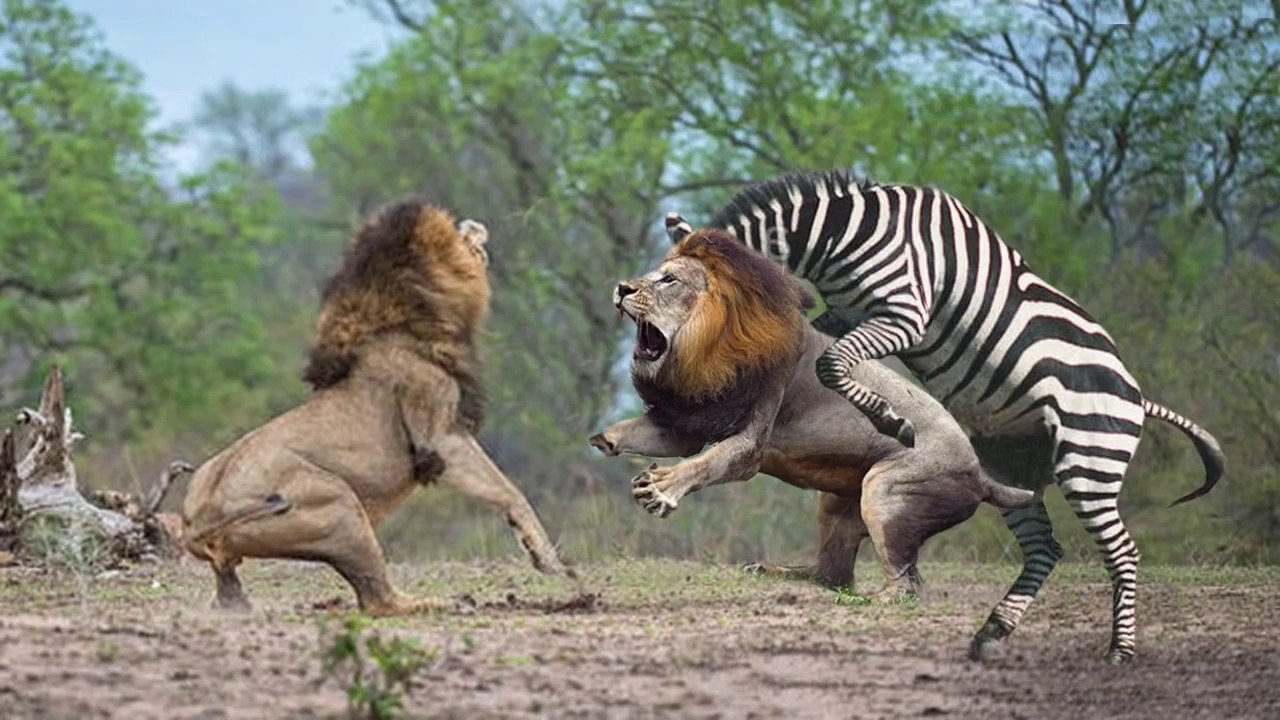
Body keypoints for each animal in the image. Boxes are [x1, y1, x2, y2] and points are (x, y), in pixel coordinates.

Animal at [181, 202, 567, 616]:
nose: (478, 227)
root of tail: (196, 522)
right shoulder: (441, 438)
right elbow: (509, 490)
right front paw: (546, 559)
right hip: (338, 504)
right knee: (378, 600)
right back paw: (449, 602)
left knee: (231, 591)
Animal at [589, 226, 1033, 598]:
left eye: (669, 280)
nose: (622, 288)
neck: (707, 344)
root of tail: (980, 475)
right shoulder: (687, 423)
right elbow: (642, 433)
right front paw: (604, 439)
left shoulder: (750, 441)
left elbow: (708, 463)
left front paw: (659, 489)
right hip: (837, 502)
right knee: (833, 574)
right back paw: (775, 571)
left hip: (887, 489)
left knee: (908, 584)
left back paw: (875, 600)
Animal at [663, 169, 1225, 664]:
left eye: (679, 287)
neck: (845, 233)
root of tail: (1137, 396)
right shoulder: (846, 313)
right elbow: (825, 353)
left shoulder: (905, 314)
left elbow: (831, 363)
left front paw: (892, 421)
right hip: (1014, 471)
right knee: (1045, 549)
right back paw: (992, 635)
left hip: (1090, 463)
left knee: (1122, 552)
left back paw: (1119, 650)